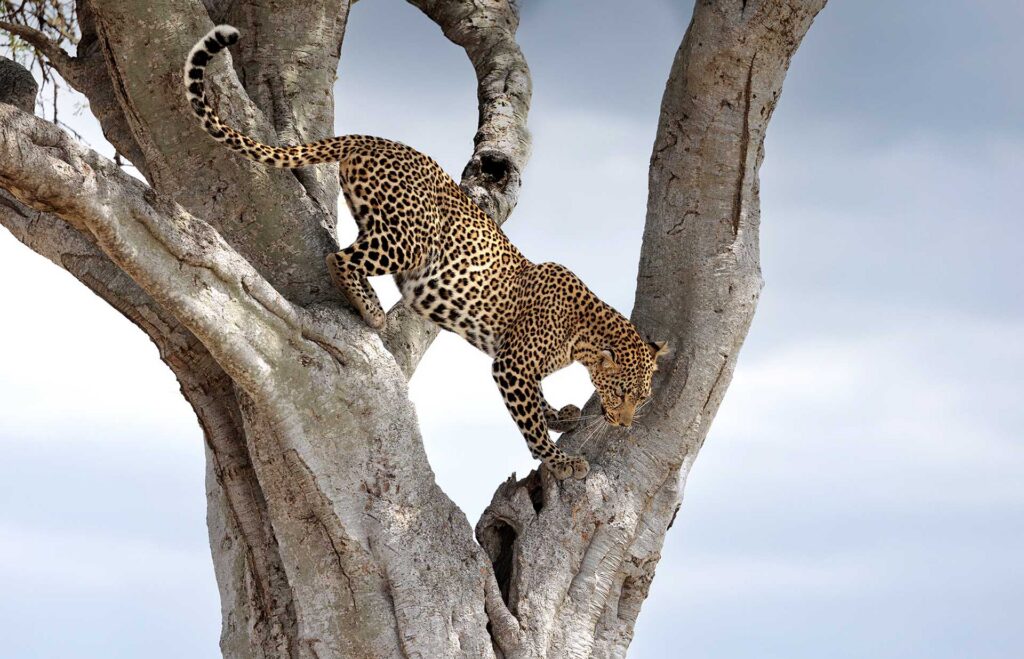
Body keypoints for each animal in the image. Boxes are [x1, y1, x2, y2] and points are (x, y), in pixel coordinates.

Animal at [184, 25, 668, 480]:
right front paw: (560, 460)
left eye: (642, 396)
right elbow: (528, 421)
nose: (625, 424)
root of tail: (376, 140)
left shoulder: (518, 366)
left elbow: (537, 403)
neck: (584, 336)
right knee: (340, 258)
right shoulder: (511, 364)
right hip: (411, 239)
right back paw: (371, 309)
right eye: (622, 392)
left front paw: (560, 417)